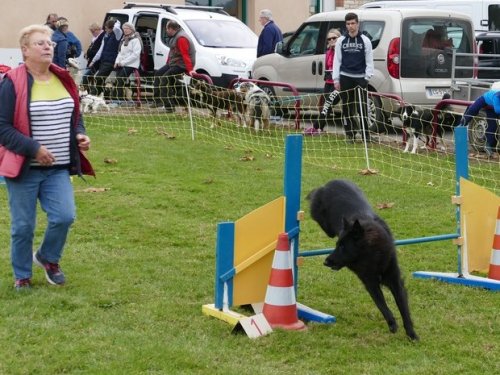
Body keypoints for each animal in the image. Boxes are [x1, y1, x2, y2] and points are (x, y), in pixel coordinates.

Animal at [308, 181, 418, 342]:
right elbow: (382, 305)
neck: (374, 256)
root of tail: (329, 183)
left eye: (342, 247)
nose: (326, 262)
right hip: (325, 225)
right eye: (337, 245)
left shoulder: (395, 281)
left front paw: (411, 333)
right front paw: (392, 323)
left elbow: (403, 307)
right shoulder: (370, 283)